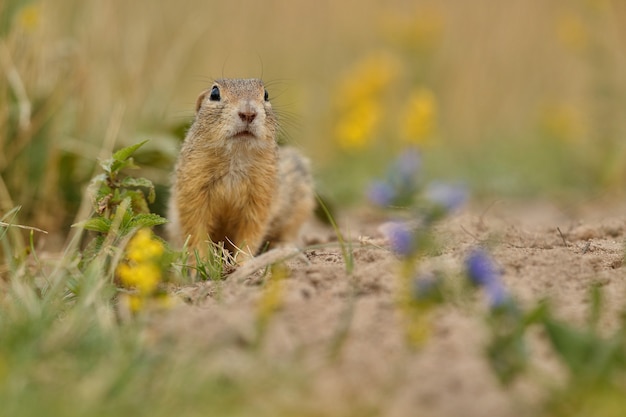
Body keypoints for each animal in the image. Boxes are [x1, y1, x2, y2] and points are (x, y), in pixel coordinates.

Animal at [167, 78, 314, 258]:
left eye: (266, 95)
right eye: (214, 93)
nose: (248, 113)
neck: (235, 157)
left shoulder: (260, 198)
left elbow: (250, 234)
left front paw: (242, 262)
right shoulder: (192, 191)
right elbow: (195, 231)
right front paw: (201, 261)